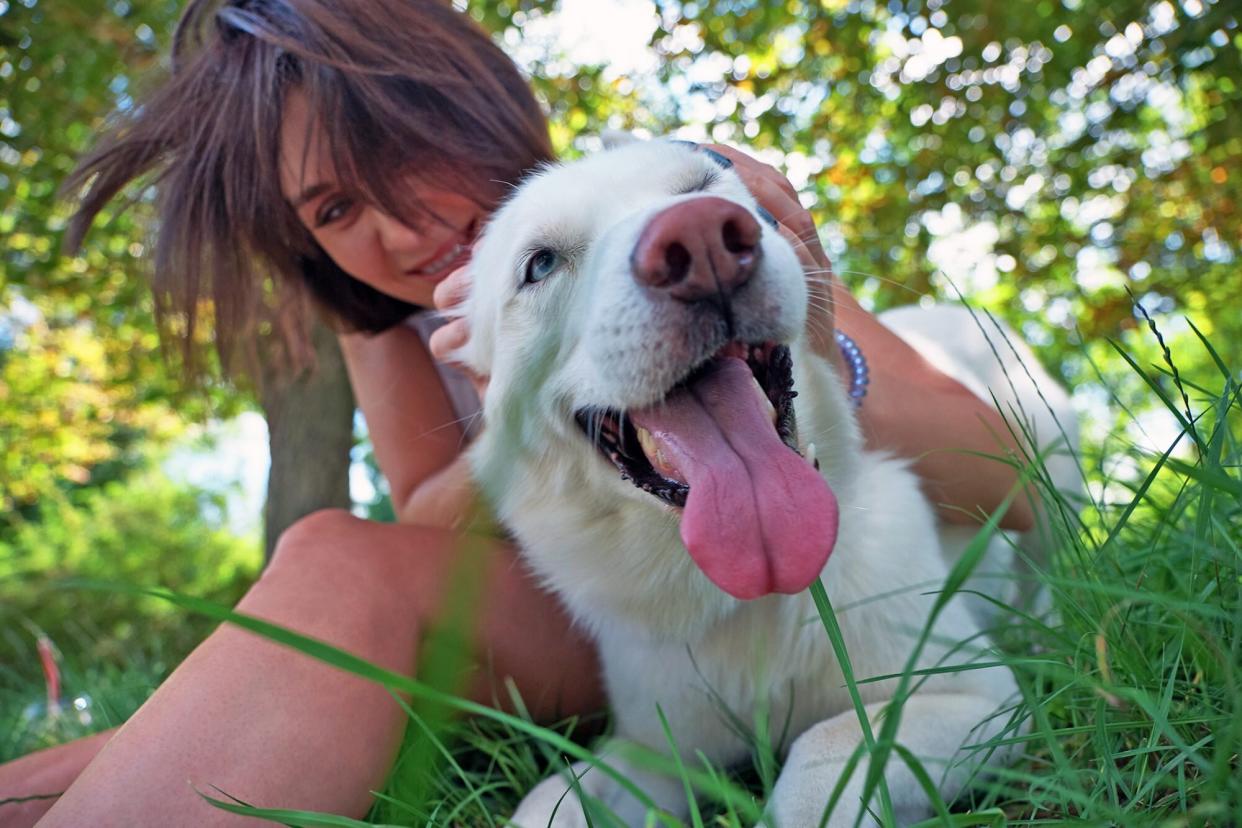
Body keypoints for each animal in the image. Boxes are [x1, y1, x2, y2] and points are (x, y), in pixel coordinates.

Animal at [454, 139, 1078, 824]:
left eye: (703, 184)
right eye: (540, 264)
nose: (700, 238)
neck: (750, 601)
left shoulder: (977, 696)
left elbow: (820, 757)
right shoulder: (654, 752)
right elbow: (550, 799)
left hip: (1053, 481)